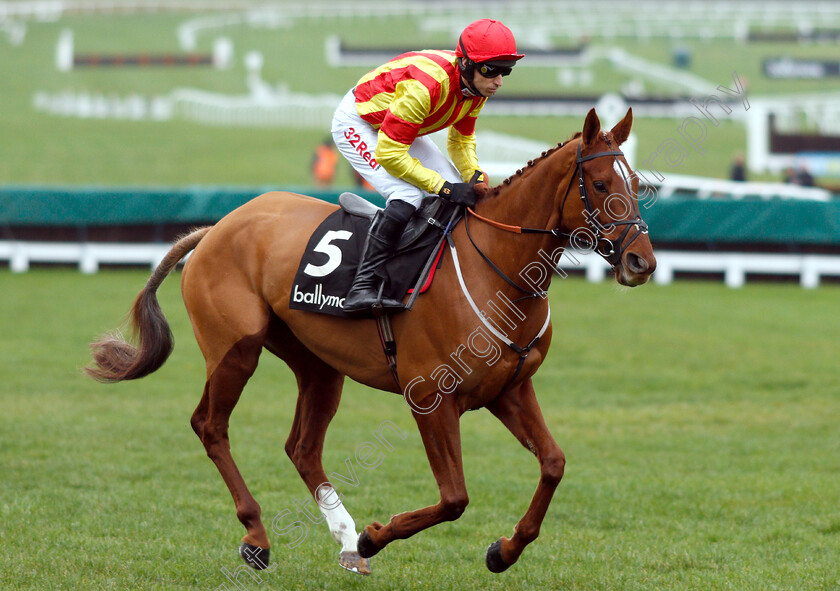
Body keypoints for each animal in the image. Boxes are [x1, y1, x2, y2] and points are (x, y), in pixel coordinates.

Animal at [90, 108, 656, 576]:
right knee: (210, 426)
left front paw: (503, 550)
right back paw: (259, 537)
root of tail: (215, 228)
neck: (496, 268)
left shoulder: (509, 390)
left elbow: (553, 465)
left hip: (318, 364)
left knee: (301, 447)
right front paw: (374, 537)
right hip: (235, 350)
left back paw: (343, 539)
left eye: (638, 184)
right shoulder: (430, 397)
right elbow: (454, 498)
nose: (642, 262)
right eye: (600, 183)